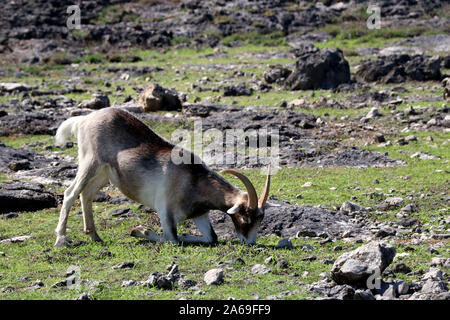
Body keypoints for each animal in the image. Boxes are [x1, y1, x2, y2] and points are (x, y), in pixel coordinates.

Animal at [52, 107, 270, 248]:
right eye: (246, 216)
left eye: (260, 219)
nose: (249, 241)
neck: (192, 178)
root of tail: (85, 119)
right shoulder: (165, 212)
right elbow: (173, 239)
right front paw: (139, 231)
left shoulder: (199, 214)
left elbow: (212, 238)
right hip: (90, 163)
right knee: (71, 192)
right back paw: (61, 239)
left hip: (104, 174)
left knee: (86, 194)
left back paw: (95, 236)